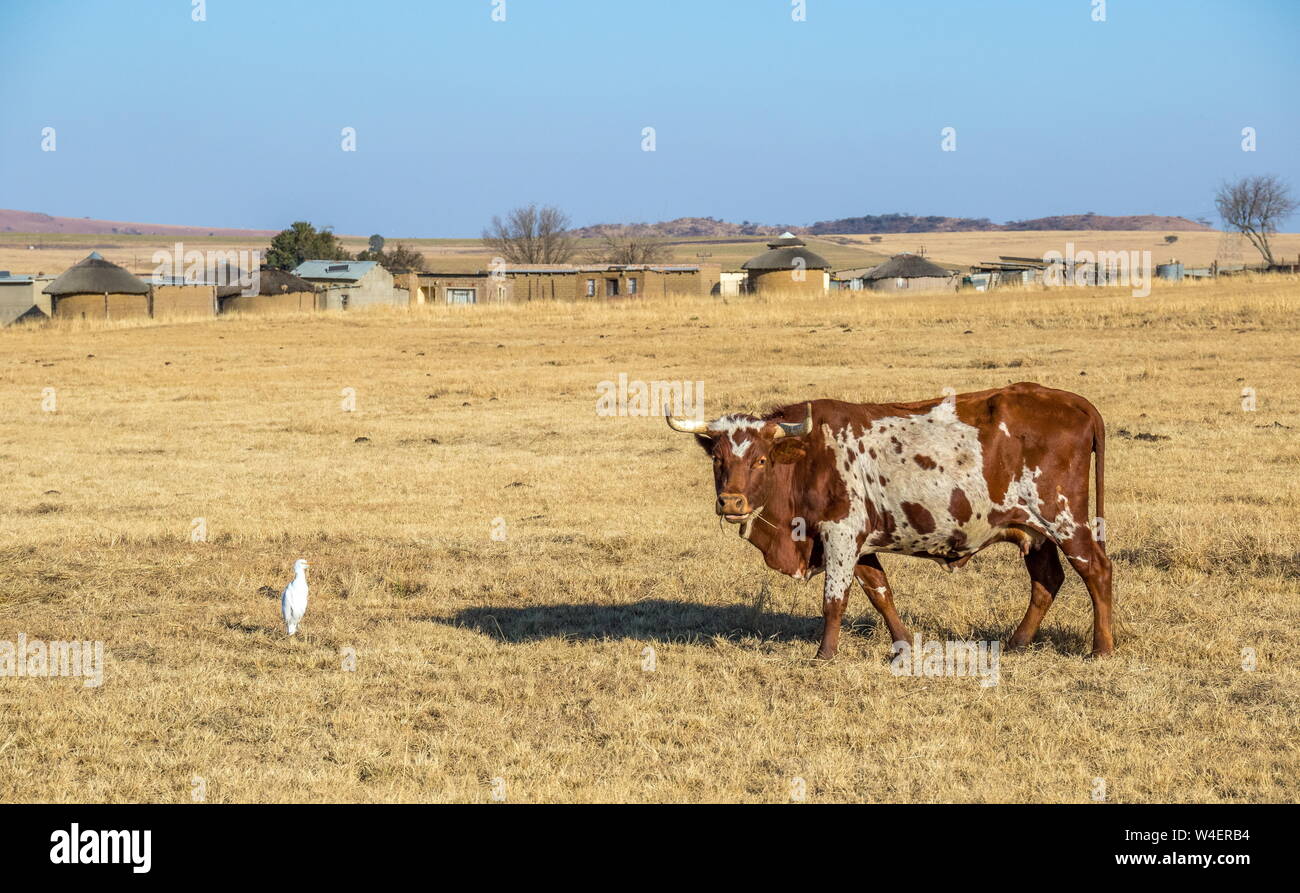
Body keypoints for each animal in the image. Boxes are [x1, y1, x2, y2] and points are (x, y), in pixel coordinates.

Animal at [665, 379, 1112, 660]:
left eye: (760, 459)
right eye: (718, 459)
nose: (732, 502)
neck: (809, 455)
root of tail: (1074, 403)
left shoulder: (840, 533)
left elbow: (835, 599)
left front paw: (824, 654)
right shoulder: (859, 542)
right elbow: (880, 593)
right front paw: (904, 645)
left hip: (1064, 519)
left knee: (1096, 570)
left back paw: (1101, 648)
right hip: (1033, 530)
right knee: (1046, 580)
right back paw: (1018, 642)